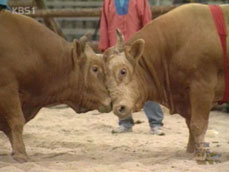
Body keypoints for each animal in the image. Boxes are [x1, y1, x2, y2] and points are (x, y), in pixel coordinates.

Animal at [104, 3, 229, 157]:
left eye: (123, 71)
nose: (118, 108)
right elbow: (190, 122)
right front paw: (191, 149)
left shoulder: (202, 88)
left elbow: (198, 123)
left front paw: (200, 153)